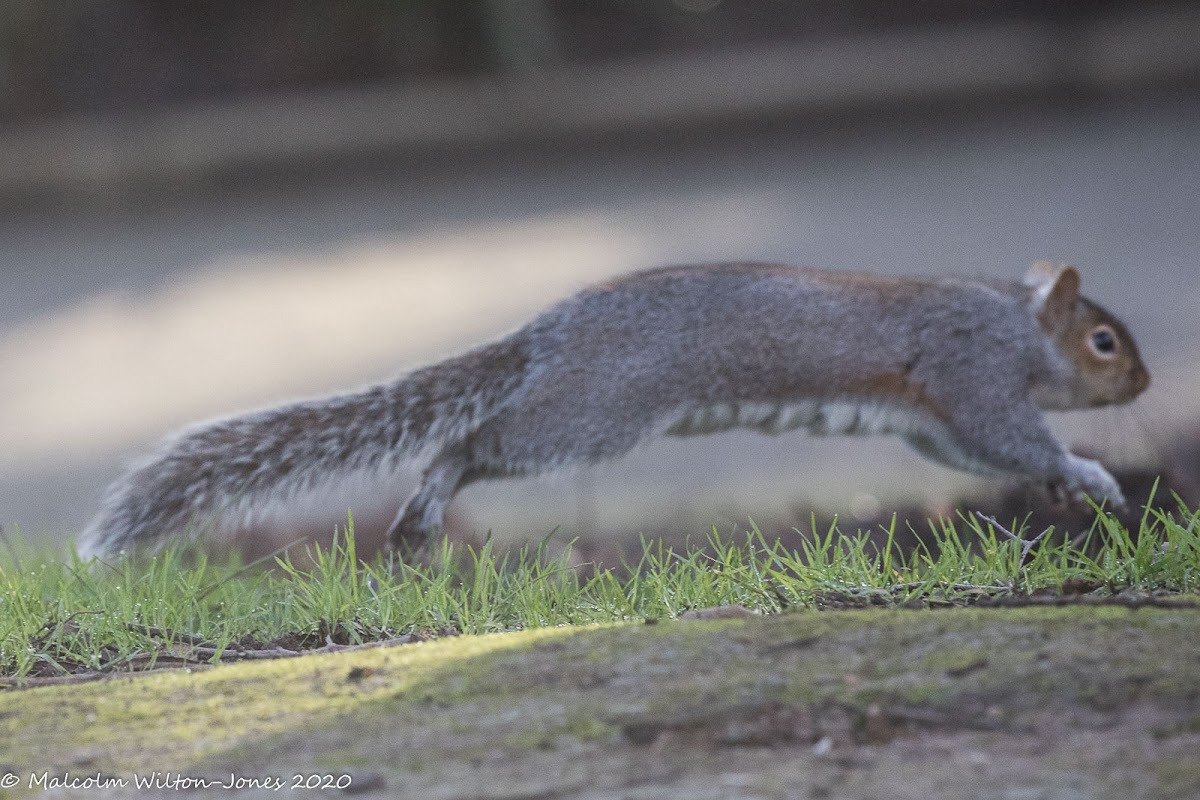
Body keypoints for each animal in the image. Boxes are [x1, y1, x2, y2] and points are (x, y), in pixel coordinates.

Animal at [79, 261, 1147, 556]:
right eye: (1104, 341)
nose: (1142, 385)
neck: (1013, 321)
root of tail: (547, 332)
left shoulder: (936, 419)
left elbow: (976, 456)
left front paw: (1076, 486)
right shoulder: (974, 373)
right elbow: (1014, 435)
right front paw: (1089, 469)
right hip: (590, 411)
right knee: (476, 440)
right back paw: (431, 497)